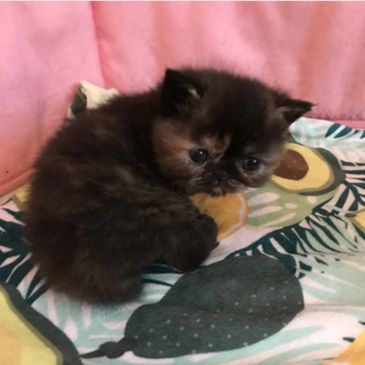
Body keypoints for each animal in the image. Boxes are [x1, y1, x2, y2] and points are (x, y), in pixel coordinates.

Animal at [24, 68, 312, 304]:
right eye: (199, 155)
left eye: (251, 163)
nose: (221, 174)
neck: (153, 124)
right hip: (152, 201)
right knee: (185, 258)